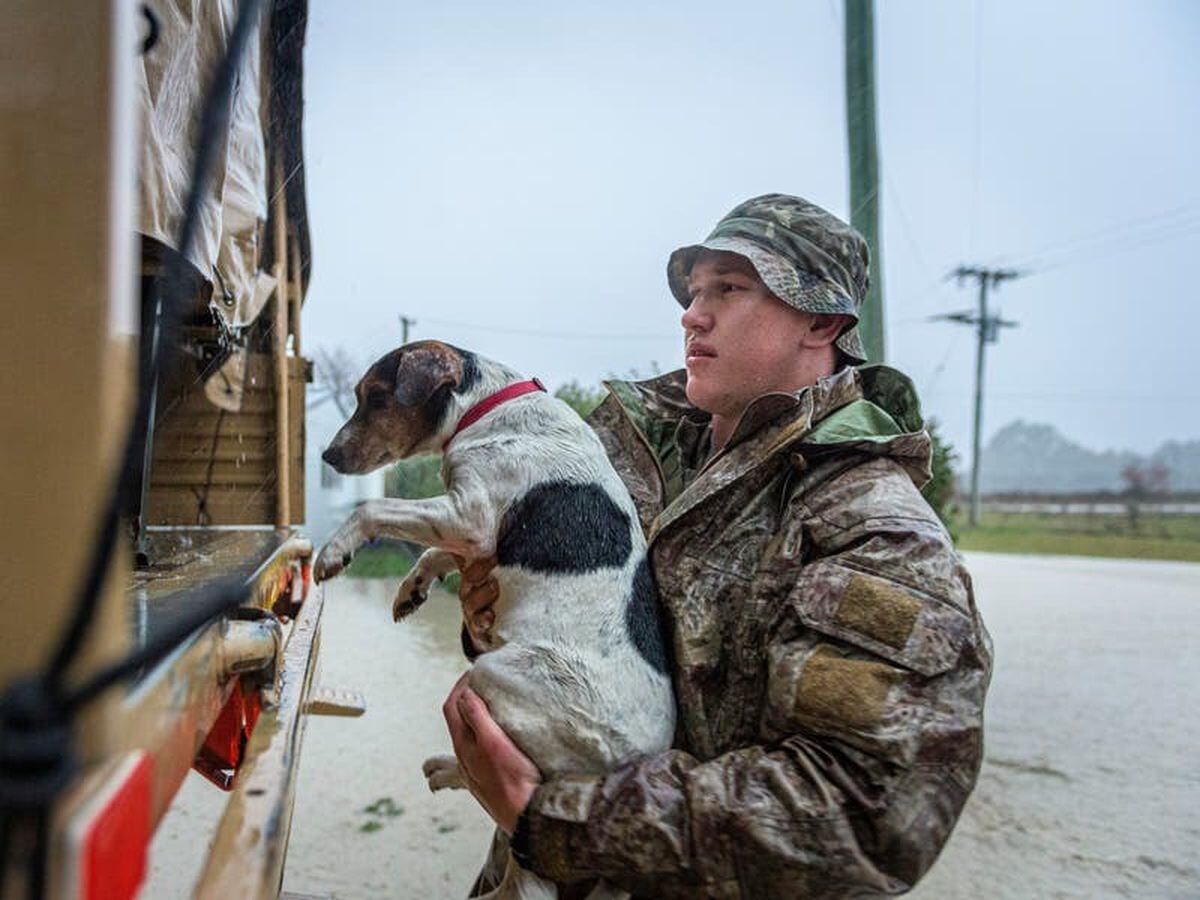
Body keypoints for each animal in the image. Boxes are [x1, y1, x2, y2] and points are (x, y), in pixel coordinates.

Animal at [316, 340, 676, 897]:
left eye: (375, 397)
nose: (328, 457)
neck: (488, 407)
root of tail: (630, 768)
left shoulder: (471, 516)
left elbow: (373, 509)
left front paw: (335, 552)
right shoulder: (469, 536)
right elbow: (435, 555)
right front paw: (411, 590)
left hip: (493, 677)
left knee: (500, 792)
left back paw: (452, 772)